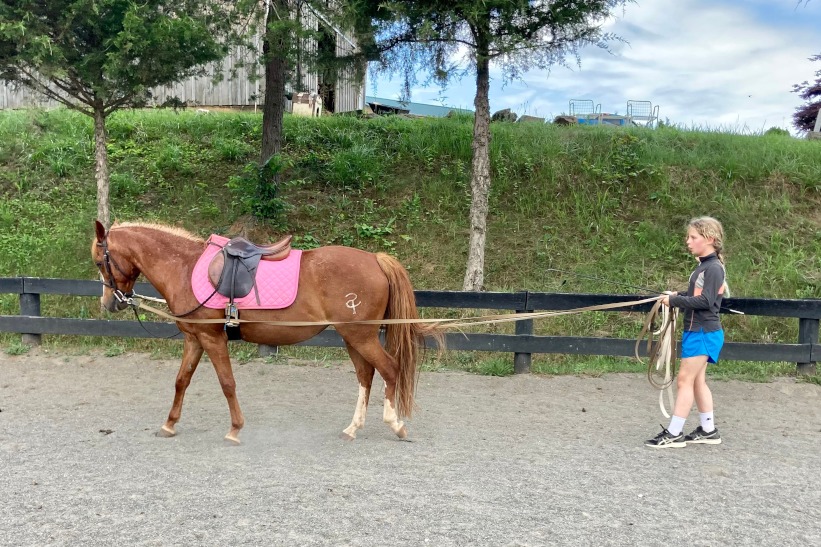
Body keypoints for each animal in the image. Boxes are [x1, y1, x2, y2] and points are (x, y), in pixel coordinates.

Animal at [91, 220, 442, 444]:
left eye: (99, 260)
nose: (109, 303)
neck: (185, 267)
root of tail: (376, 260)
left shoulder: (212, 339)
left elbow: (227, 383)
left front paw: (235, 429)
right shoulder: (195, 339)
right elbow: (181, 381)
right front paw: (169, 424)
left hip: (361, 336)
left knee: (390, 370)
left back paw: (395, 425)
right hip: (353, 338)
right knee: (366, 377)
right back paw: (352, 428)